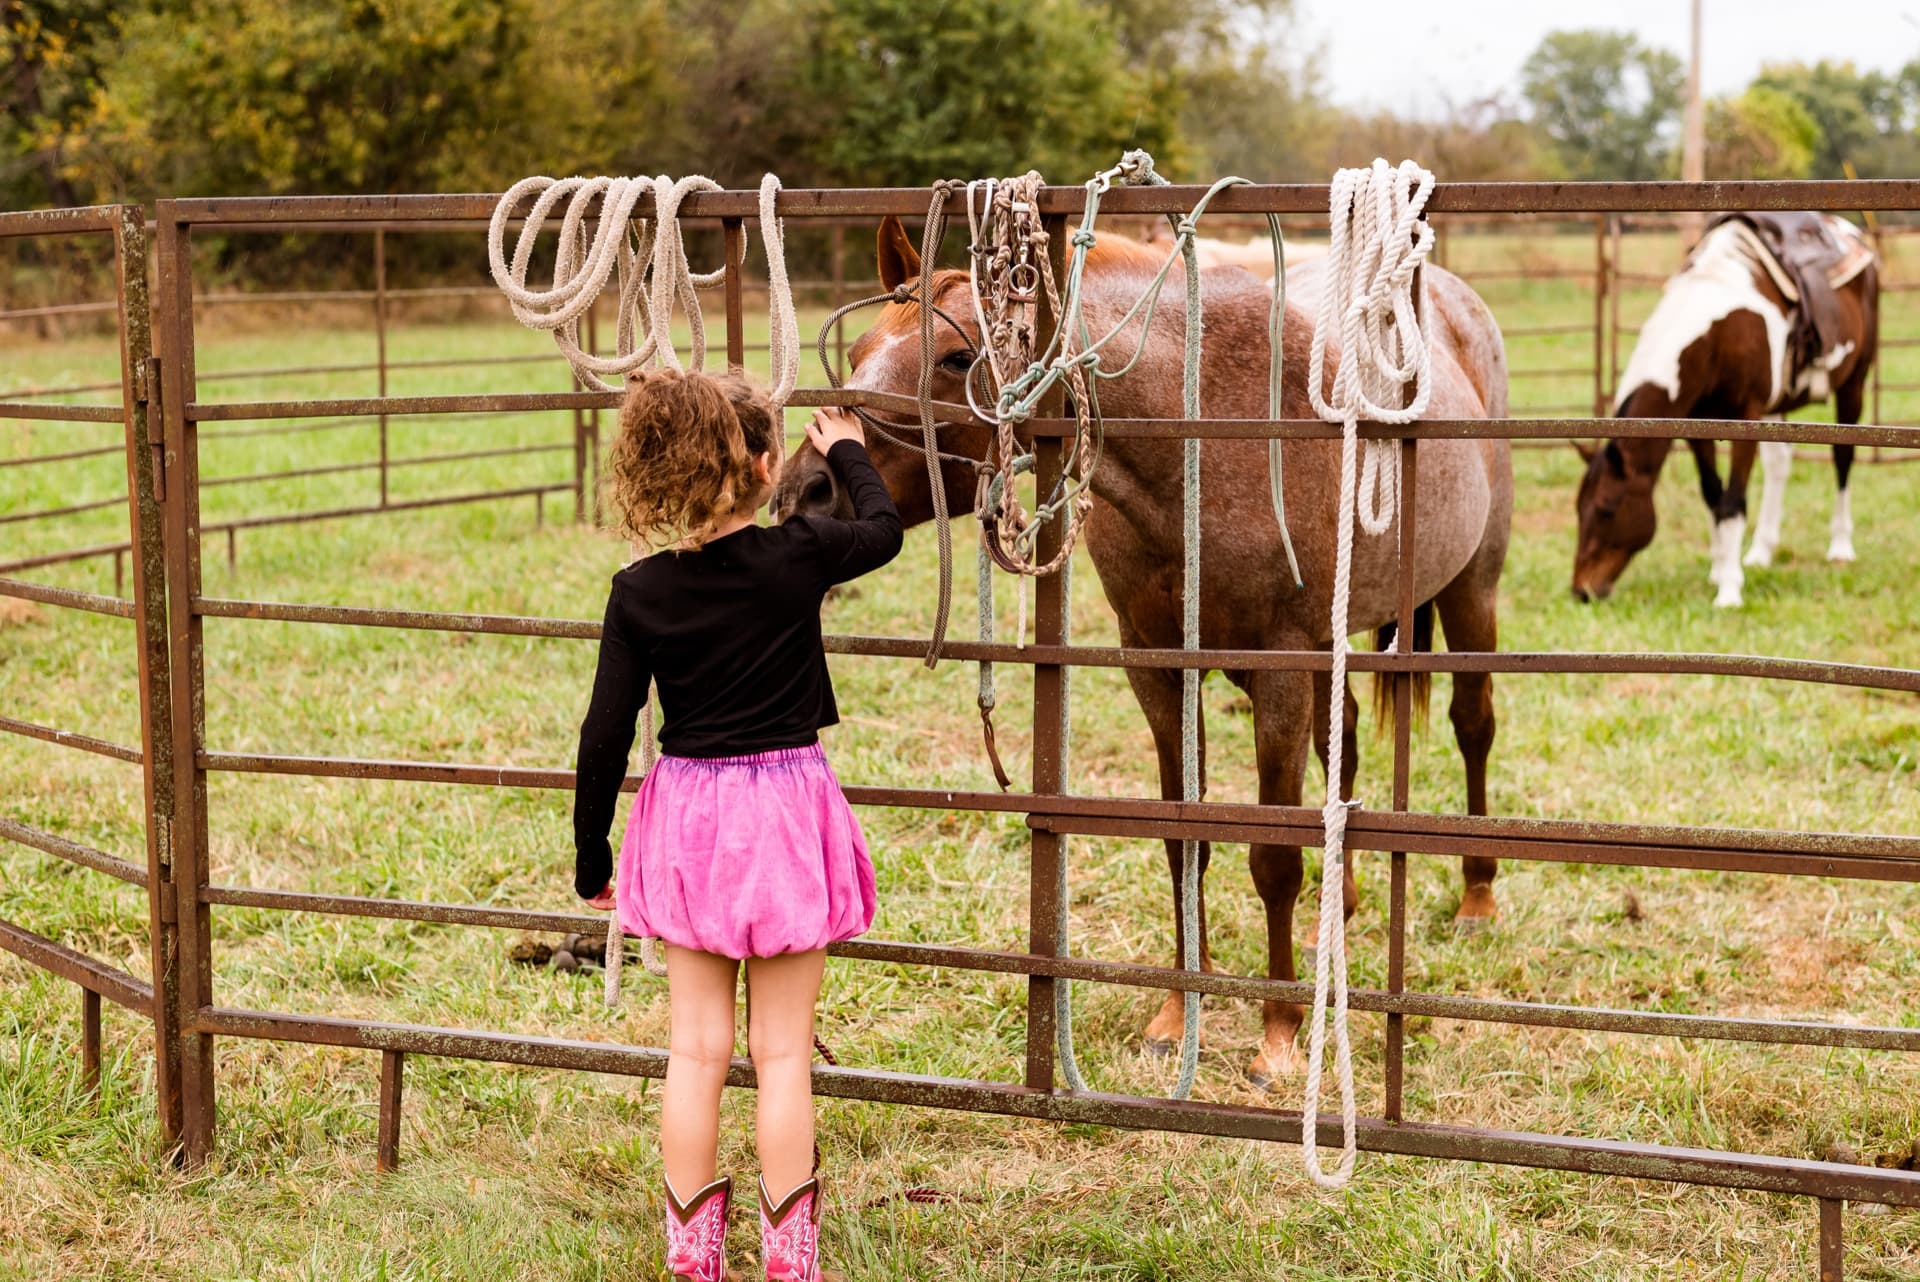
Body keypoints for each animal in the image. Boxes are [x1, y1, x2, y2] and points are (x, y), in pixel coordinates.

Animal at [772, 215, 1513, 1085]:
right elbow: (1182, 841)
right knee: (1352, 743)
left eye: (957, 357)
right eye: (858, 351)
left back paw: (1476, 898)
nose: (805, 491)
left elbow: (1273, 857)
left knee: (1473, 724)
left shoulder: (1283, 670)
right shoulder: (1159, 671)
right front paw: (1176, 1014)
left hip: (1471, 592)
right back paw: (1344, 906)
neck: (1202, 433)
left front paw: (1279, 1032)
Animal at [1571, 212, 1879, 607]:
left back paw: (1840, 545)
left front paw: (1730, 590)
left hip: (1853, 382)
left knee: (1843, 457)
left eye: (1607, 508)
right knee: (1779, 465)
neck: (1717, 332)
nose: (1581, 590)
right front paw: (1720, 569)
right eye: (1579, 509)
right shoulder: (1696, 424)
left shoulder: (1746, 417)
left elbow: (1732, 502)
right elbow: (1712, 495)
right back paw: (1762, 551)